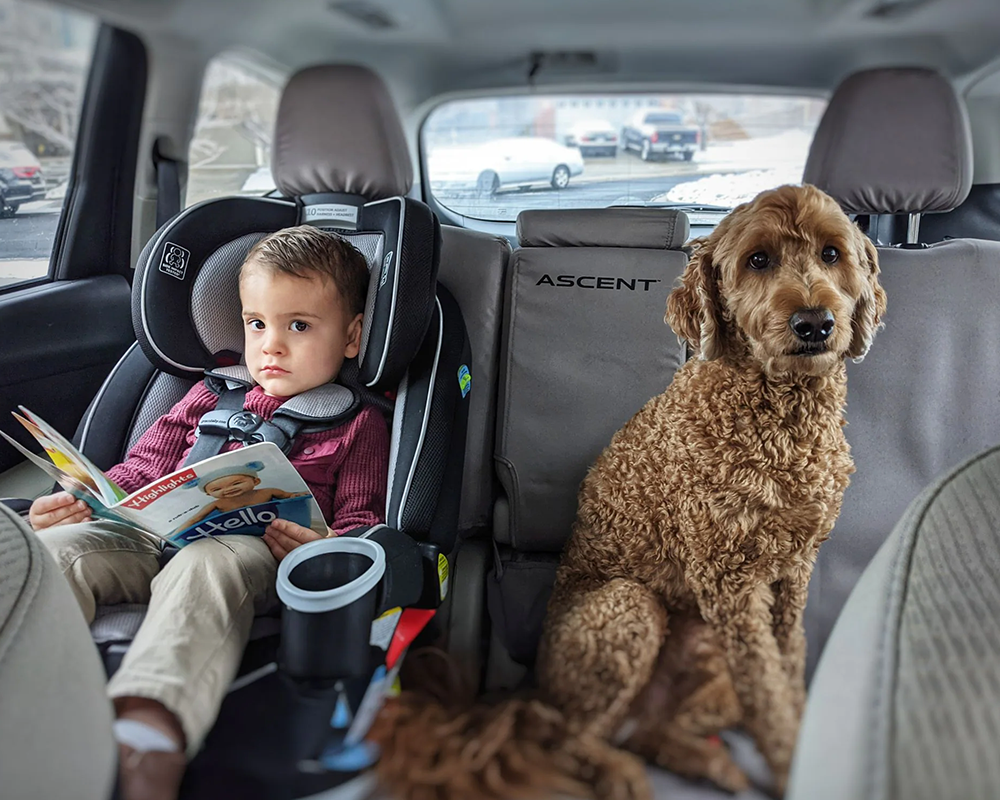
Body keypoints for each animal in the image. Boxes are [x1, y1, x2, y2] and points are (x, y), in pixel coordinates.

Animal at [372, 184, 888, 800]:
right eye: (758, 259)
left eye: (833, 253)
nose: (815, 323)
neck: (780, 416)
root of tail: (531, 686)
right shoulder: (730, 582)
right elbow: (768, 697)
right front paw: (793, 762)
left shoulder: (792, 575)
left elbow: (786, 670)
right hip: (629, 608)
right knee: (566, 734)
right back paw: (621, 773)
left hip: (705, 648)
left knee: (648, 730)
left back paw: (707, 761)